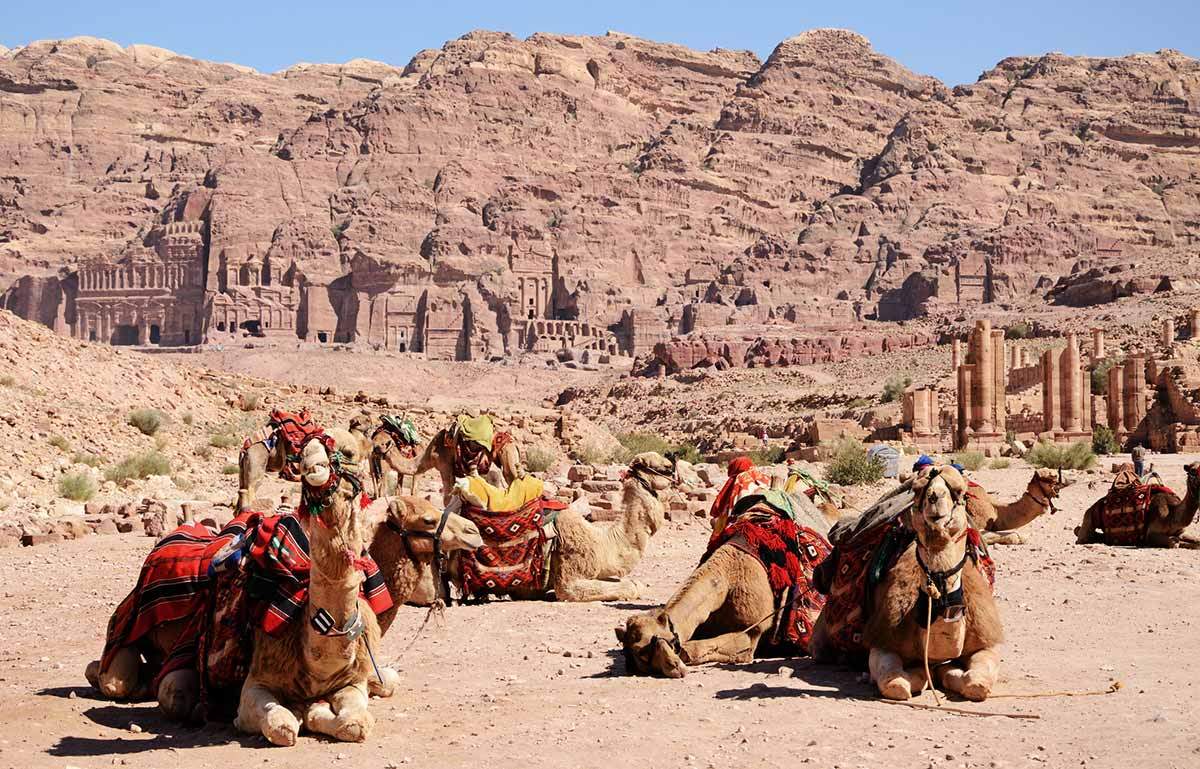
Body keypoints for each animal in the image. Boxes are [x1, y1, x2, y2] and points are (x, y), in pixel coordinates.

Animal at [614, 489, 830, 676]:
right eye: (636, 653)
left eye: (645, 649)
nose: (674, 669)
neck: (726, 581)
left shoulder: (752, 633)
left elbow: (689, 650)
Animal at [806, 465, 1003, 700]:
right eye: (917, 490)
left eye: (960, 492)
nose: (934, 497)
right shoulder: (882, 641)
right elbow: (896, 684)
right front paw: (925, 675)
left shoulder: (985, 641)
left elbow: (976, 683)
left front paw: (950, 671)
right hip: (820, 639)